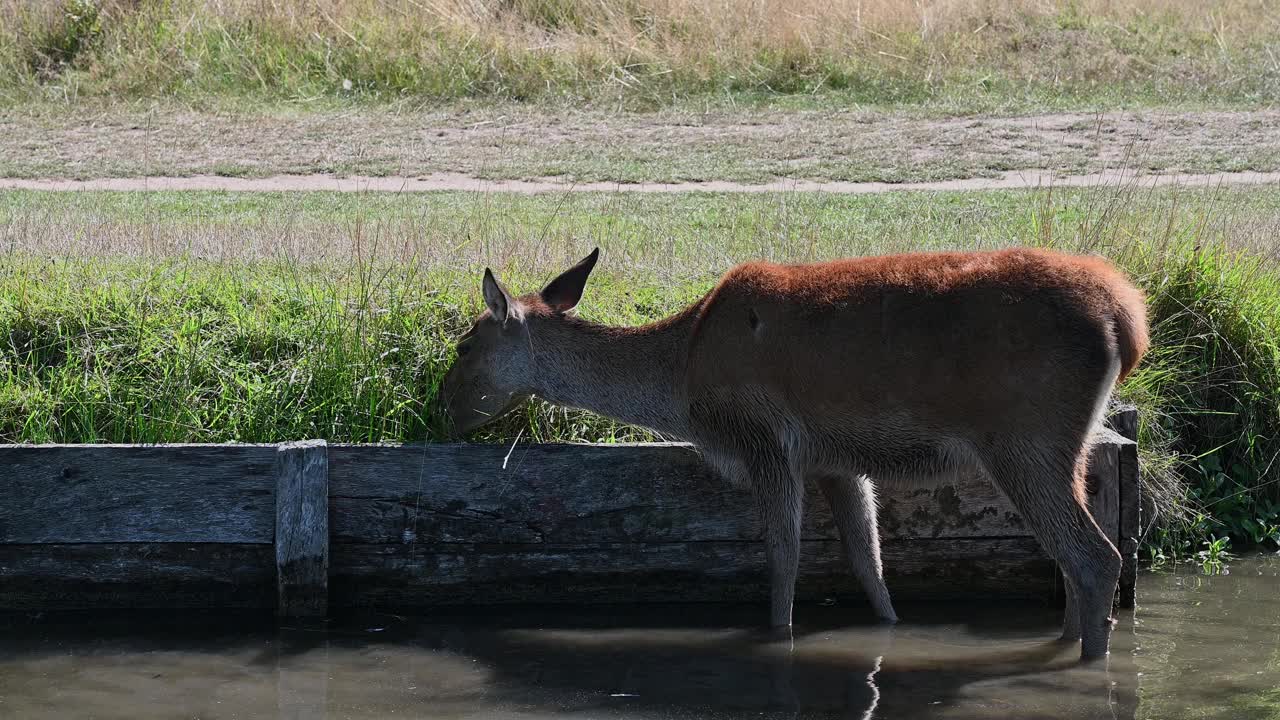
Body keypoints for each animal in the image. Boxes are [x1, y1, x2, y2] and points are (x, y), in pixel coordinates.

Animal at [440, 243, 1152, 661]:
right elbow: (868, 562)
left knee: (1096, 557)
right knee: (1072, 559)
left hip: (1025, 438)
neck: (683, 385)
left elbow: (783, 557)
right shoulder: (837, 460)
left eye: (465, 344)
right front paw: (890, 628)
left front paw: (775, 636)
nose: (445, 406)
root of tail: (1129, 321)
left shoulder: (765, 438)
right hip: (1068, 445)